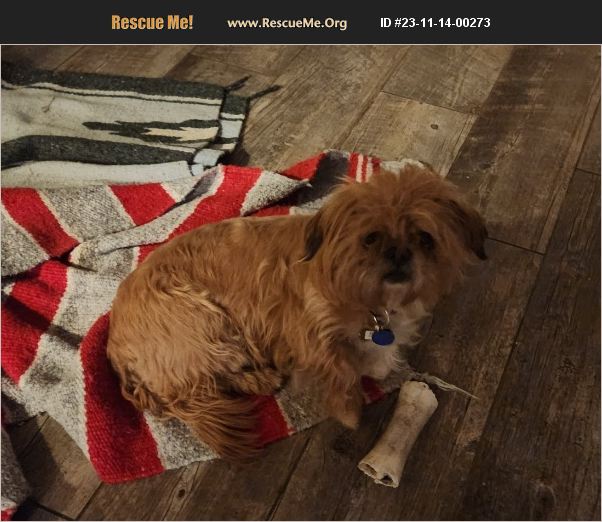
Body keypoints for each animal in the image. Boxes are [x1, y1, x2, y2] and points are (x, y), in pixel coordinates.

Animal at [107, 162, 487, 459]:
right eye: (370, 238)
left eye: (425, 238)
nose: (398, 253)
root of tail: (116, 348)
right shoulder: (300, 328)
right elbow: (342, 368)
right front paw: (350, 408)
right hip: (205, 323)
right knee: (197, 387)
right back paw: (260, 378)